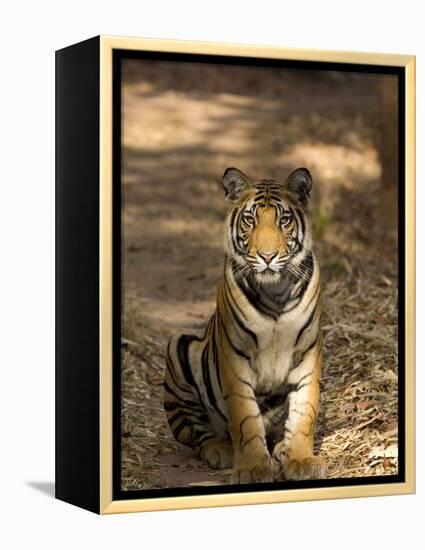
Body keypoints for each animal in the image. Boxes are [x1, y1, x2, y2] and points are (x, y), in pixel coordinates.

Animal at [163, 166, 324, 486]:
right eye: (250, 220)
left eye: (284, 220)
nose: (267, 256)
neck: (275, 292)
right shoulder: (234, 358)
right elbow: (245, 418)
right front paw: (251, 469)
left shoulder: (308, 354)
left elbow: (304, 413)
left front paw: (301, 460)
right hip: (179, 347)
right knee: (197, 433)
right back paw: (221, 450)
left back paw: (281, 449)